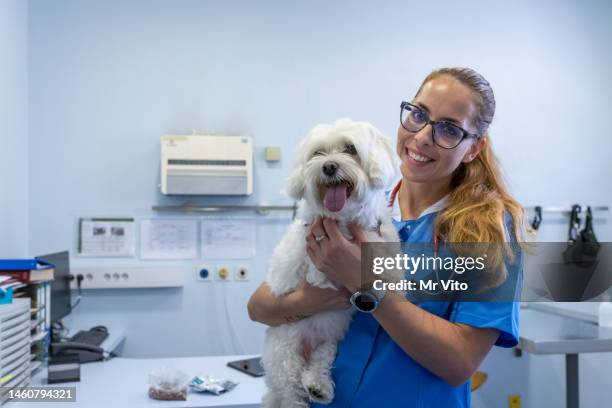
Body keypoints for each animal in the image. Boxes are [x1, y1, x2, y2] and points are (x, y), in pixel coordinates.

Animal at [262, 118, 402, 408]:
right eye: (318, 153)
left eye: (351, 148)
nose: (328, 167)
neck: (345, 220)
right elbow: (315, 270)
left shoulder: (379, 234)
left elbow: (385, 252)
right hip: (283, 352)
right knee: (291, 389)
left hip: (329, 342)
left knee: (319, 363)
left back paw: (319, 386)